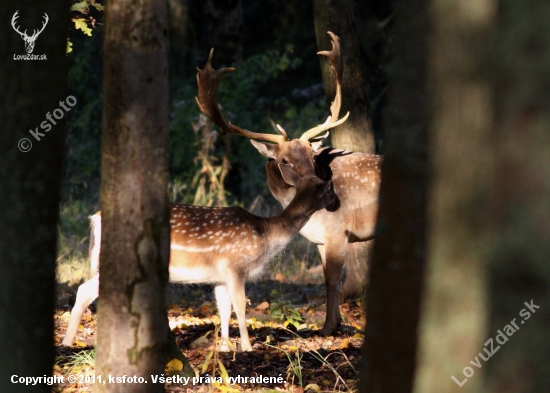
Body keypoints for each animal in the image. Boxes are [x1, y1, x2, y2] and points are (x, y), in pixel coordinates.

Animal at [60, 163, 336, 350]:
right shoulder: (235, 266)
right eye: (329, 188)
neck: (265, 236)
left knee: (84, 289)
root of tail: (95, 219)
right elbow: (241, 306)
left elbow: (224, 309)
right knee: (85, 290)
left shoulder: (219, 278)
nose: (337, 203)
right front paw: (247, 347)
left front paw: (224, 347)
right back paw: (68, 343)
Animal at [197, 32, 384, 336]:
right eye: (284, 160)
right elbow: (327, 278)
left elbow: (332, 280)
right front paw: (335, 323)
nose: (321, 184)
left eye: (311, 154)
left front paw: (327, 328)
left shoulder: (338, 230)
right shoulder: (321, 239)